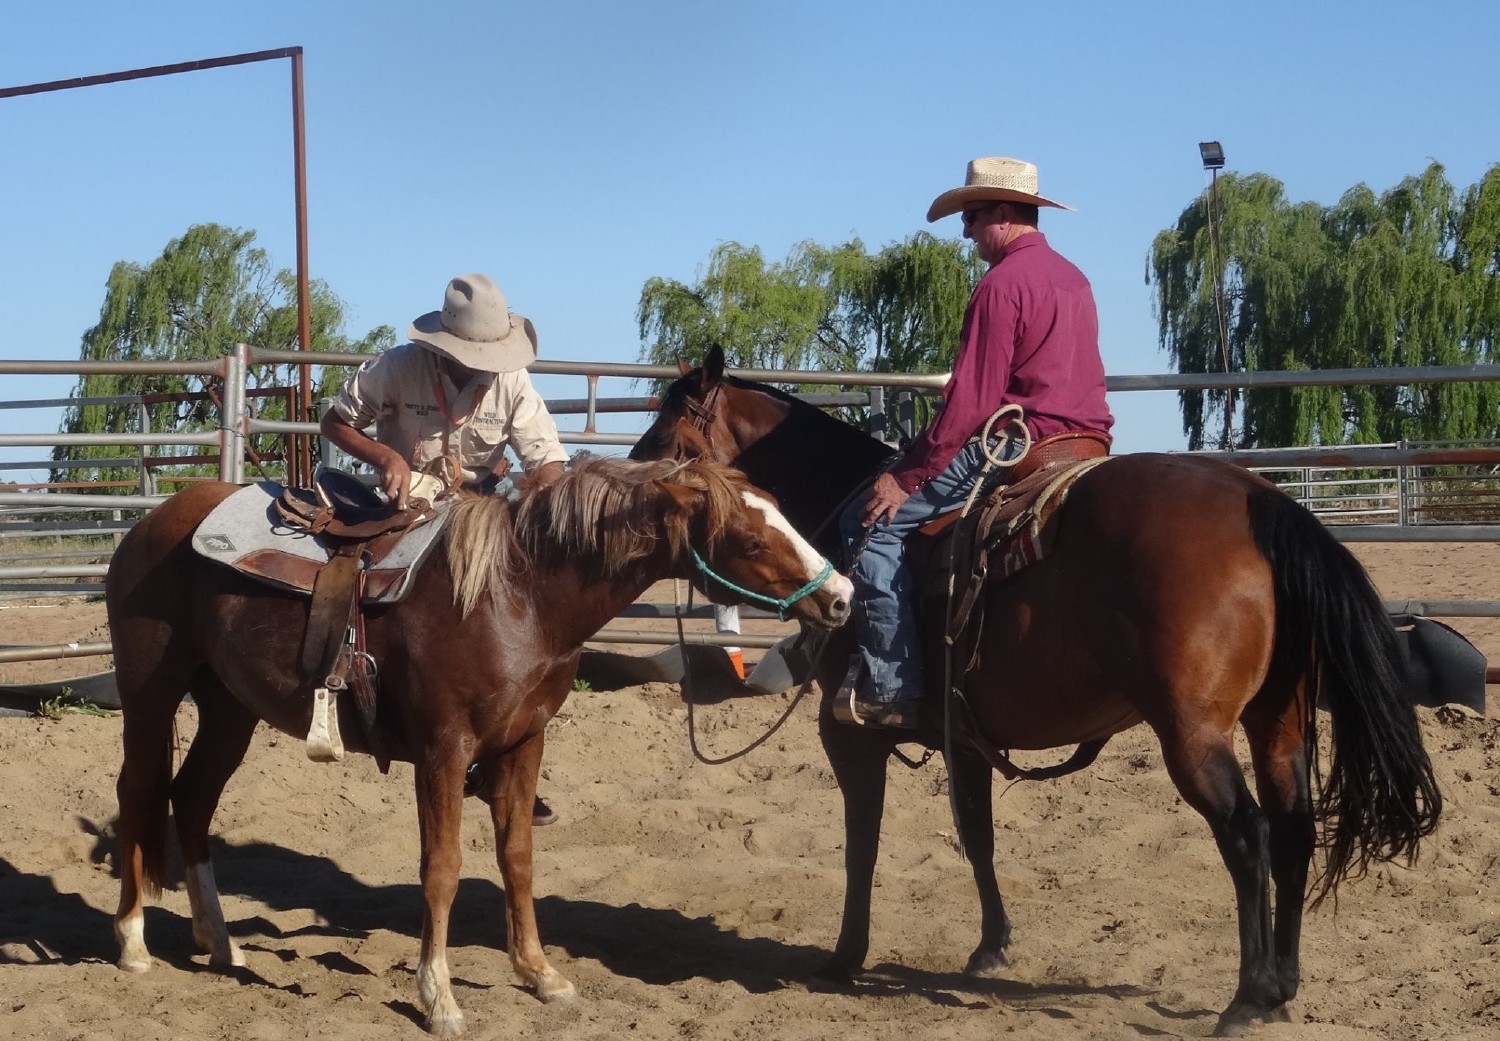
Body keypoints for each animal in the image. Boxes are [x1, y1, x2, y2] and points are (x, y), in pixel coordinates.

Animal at [102, 462, 858, 1038]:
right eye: (750, 539)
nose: (844, 597)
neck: (518, 595)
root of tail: (150, 524)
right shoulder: (444, 749)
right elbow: (442, 868)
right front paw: (439, 996)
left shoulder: (524, 743)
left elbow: (517, 857)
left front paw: (540, 972)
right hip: (150, 697)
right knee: (139, 793)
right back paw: (133, 941)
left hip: (230, 707)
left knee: (191, 799)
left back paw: (219, 943)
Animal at [633, 348, 1440, 1038]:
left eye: (667, 430)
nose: (633, 489)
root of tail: (1260, 499)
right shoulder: (964, 738)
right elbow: (977, 833)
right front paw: (992, 946)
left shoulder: (850, 734)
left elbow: (862, 842)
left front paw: (843, 956)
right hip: (1280, 717)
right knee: (1296, 825)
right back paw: (1287, 984)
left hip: (1194, 734)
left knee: (1248, 833)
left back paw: (1249, 996)